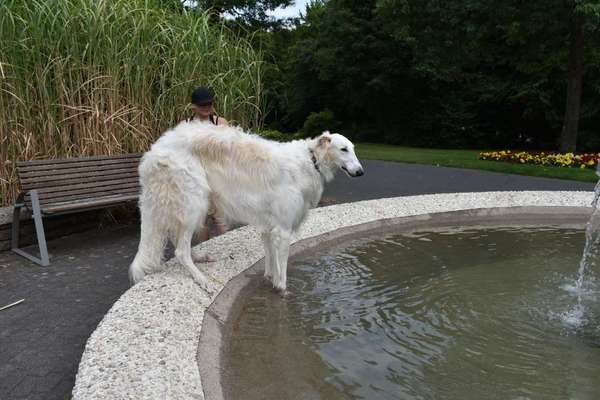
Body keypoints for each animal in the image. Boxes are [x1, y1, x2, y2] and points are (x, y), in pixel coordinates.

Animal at [129, 120, 364, 292]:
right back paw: (202, 279)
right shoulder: (283, 230)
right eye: (343, 149)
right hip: (194, 201)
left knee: (176, 239)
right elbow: (282, 275)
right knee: (180, 251)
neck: (311, 160)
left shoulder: (268, 226)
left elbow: (270, 262)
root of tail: (153, 152)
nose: (361, 172)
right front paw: (282, 292)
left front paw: (269, 277)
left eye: (353, 149)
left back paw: (199, 258)